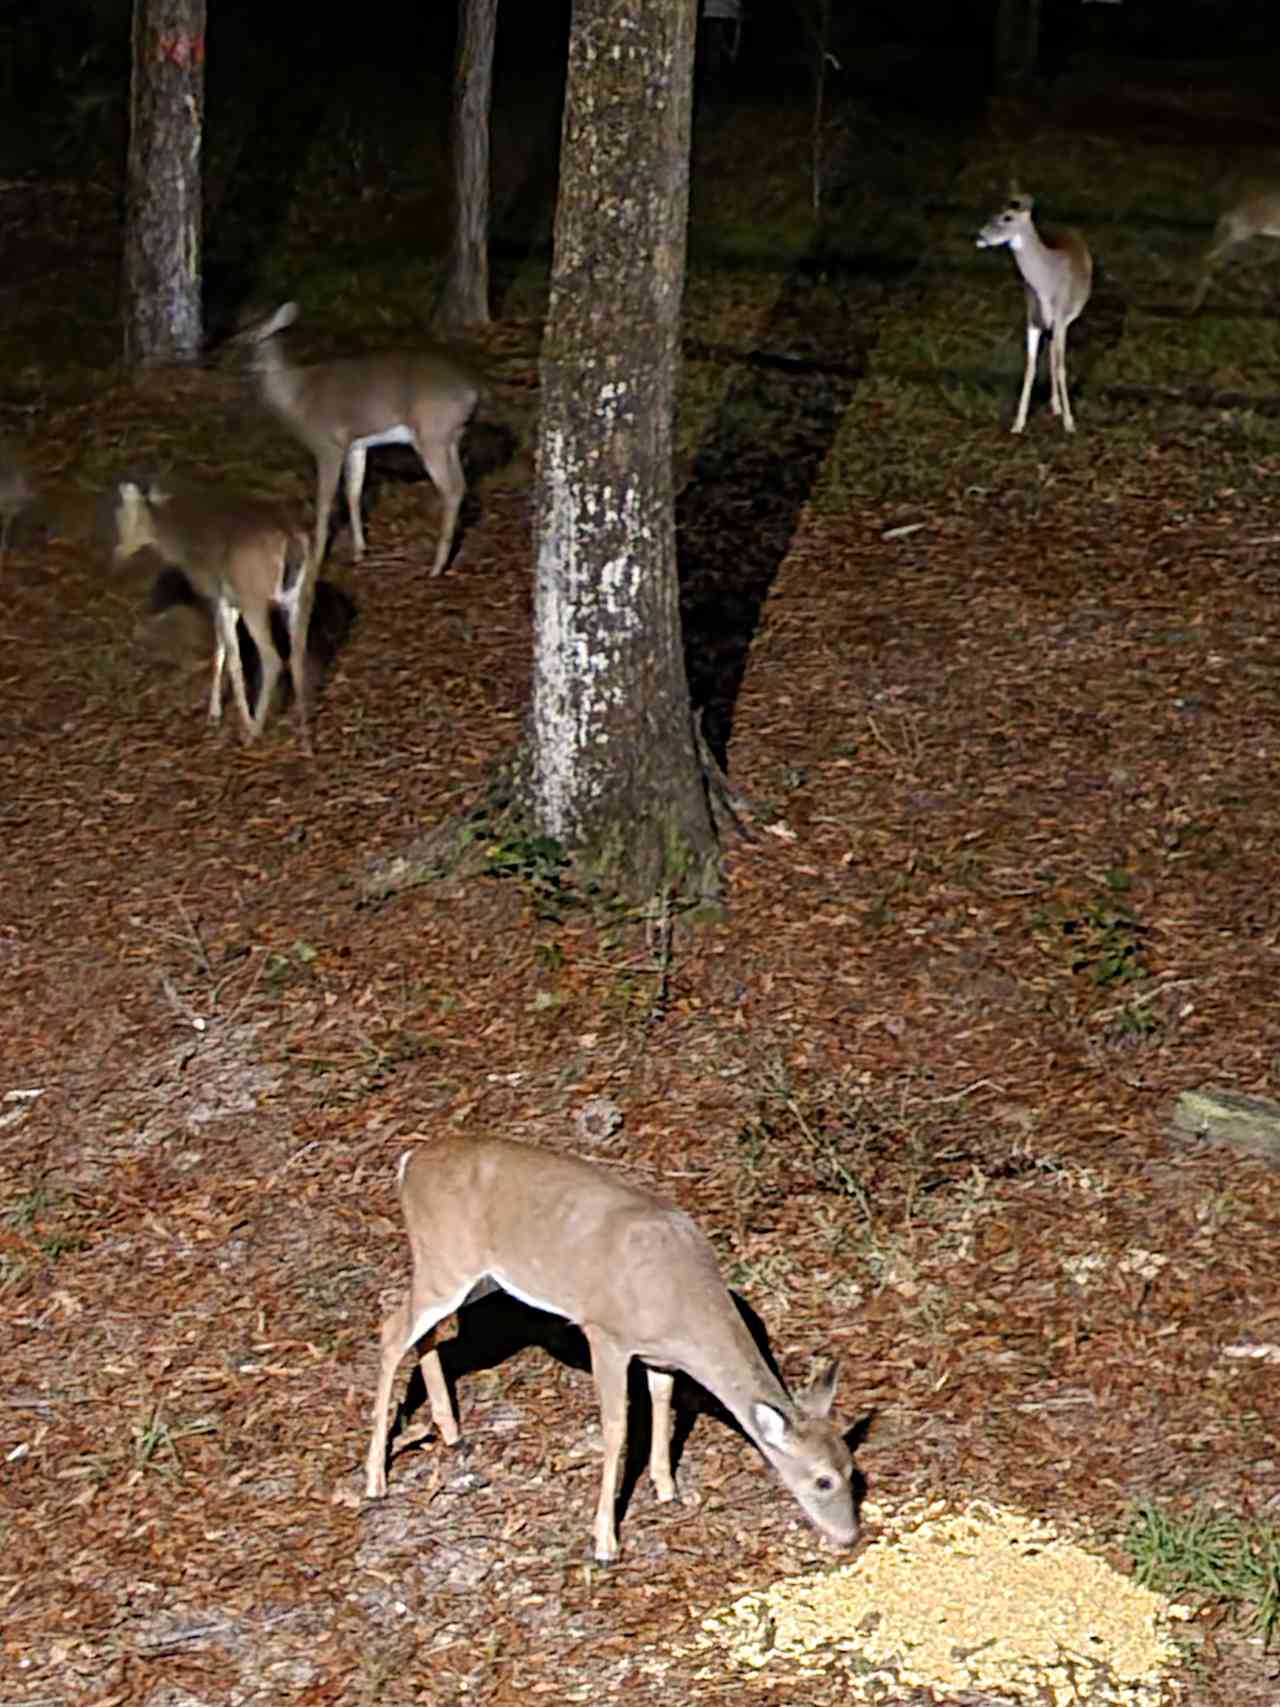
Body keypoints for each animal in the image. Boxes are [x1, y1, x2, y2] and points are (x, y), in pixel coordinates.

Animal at [114, 481, 317, 747]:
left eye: (122, 516)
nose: (118, 550)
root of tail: (292, 540)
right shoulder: (229, 602)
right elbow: (222, 650)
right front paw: (216, 713)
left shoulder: (221, 598)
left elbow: (230, 656)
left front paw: (222, 716)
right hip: (302, 594)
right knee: (298, 654)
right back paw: (303, 728)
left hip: (255, 599)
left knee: (272, 658)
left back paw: (254, 729)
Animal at [235, 303, 481, 576]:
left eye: (249, 338)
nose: (235, 368)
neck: (296, 399)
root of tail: (473, 393)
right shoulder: (356, 445)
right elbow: (353, 493)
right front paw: (359, 552)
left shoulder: (327, 444)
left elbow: (325, 501)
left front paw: (317, 560)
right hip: (451, 438)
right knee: (461, 485)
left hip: (432, 435)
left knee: (450, 489)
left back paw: (436, 567)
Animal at [363, 1133, 863, 1563]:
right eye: (823, 1480)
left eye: (853, 1471)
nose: (849, 1536)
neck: (684, 1307)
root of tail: (408, 1162)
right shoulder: (605, 1333)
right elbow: (617, 1427)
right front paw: (606, 1541)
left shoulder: (658, 1356)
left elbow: (662, 1402)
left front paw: (668, 1489)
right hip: (446, 1261)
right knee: (390, 1331)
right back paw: (375, 1479)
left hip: (475, 1279)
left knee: (425, 1333)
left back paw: (450, 1431)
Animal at [976, 188, 1099, 433]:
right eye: (992, 213)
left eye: (1007, 217)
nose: (981, 236)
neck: (1046, 281)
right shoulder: (1033, 319)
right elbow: (1031, 366)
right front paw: (1018, 423)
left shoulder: (1060, 317)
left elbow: (1061, 366)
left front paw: (1070, 423)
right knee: (1051, 352)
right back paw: (1055, 405)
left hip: (1067, 319)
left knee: (1055, 355)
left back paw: (1059, 408)